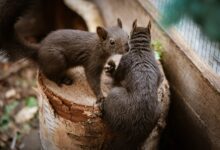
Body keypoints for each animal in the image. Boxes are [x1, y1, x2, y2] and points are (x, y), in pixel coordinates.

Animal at [0, 0, 129, 101]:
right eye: (112, 42)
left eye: (127, 35)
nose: (127, 48)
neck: (99, 47)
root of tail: (38, 51)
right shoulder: (92, 62)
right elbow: (92, 80)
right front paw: (100, 96)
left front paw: (111, 65)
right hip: (57, 59)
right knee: (48, 73)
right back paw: (62, 80)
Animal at [99, 20, 162, 150]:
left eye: (128, 36)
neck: (141, 47)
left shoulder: (124, 61)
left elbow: (117, 75)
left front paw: (111, 69)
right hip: (159, 109)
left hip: (115, 95)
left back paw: (103, 106)